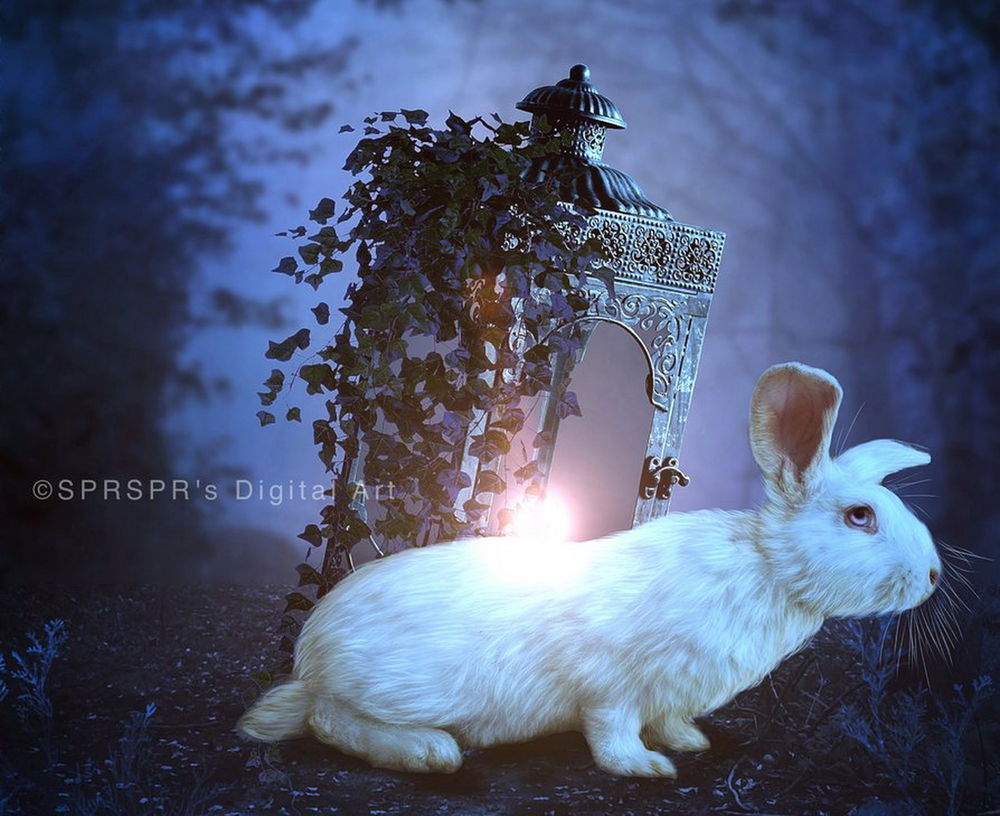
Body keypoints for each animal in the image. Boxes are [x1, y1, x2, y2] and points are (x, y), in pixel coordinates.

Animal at [237, 362, 940, 778]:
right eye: (860, 517)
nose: (932, 576)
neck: (767, 568)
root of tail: (312, 654)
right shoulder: (612, 683)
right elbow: (612, 731)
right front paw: (646, 768)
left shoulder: (670, 692)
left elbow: (669, 720)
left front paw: (690, 745)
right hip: (399, 686)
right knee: (330, 720)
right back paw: (429, 751)